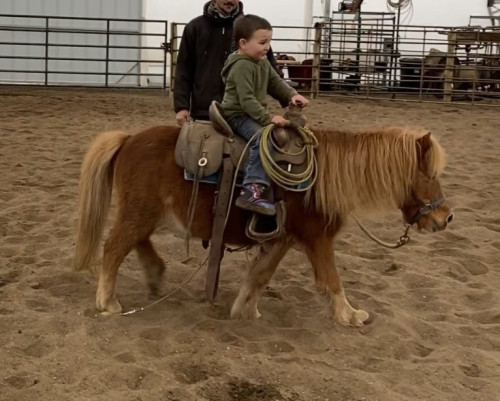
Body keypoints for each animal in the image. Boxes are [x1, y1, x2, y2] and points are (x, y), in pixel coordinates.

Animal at [74, 125, 453, 326]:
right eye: (429, 175)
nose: (445, 217)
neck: (321, 180)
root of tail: (128, 139)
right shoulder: (317, 239)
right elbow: (332, 279)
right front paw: (350, 314)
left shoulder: (282, 240)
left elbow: (260, 275)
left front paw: (245, 309)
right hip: (138, 213)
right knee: (114, 249)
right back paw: (108, 302)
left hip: (145, 214)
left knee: (137, 243)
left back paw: (154, 273)